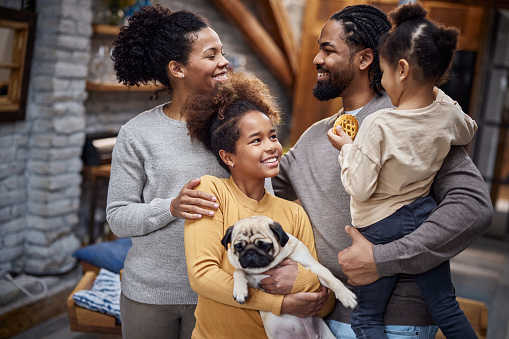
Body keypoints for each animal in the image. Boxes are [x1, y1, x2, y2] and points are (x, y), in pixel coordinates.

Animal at [219, 216, 358, 338]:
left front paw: (346, 296)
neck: (271, 265)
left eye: (264, 245)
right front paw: (240, 291)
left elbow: (333, 280)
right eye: (238, 247)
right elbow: (238, 271)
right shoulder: (255, 281)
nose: (250, 252)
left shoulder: (312, 266)